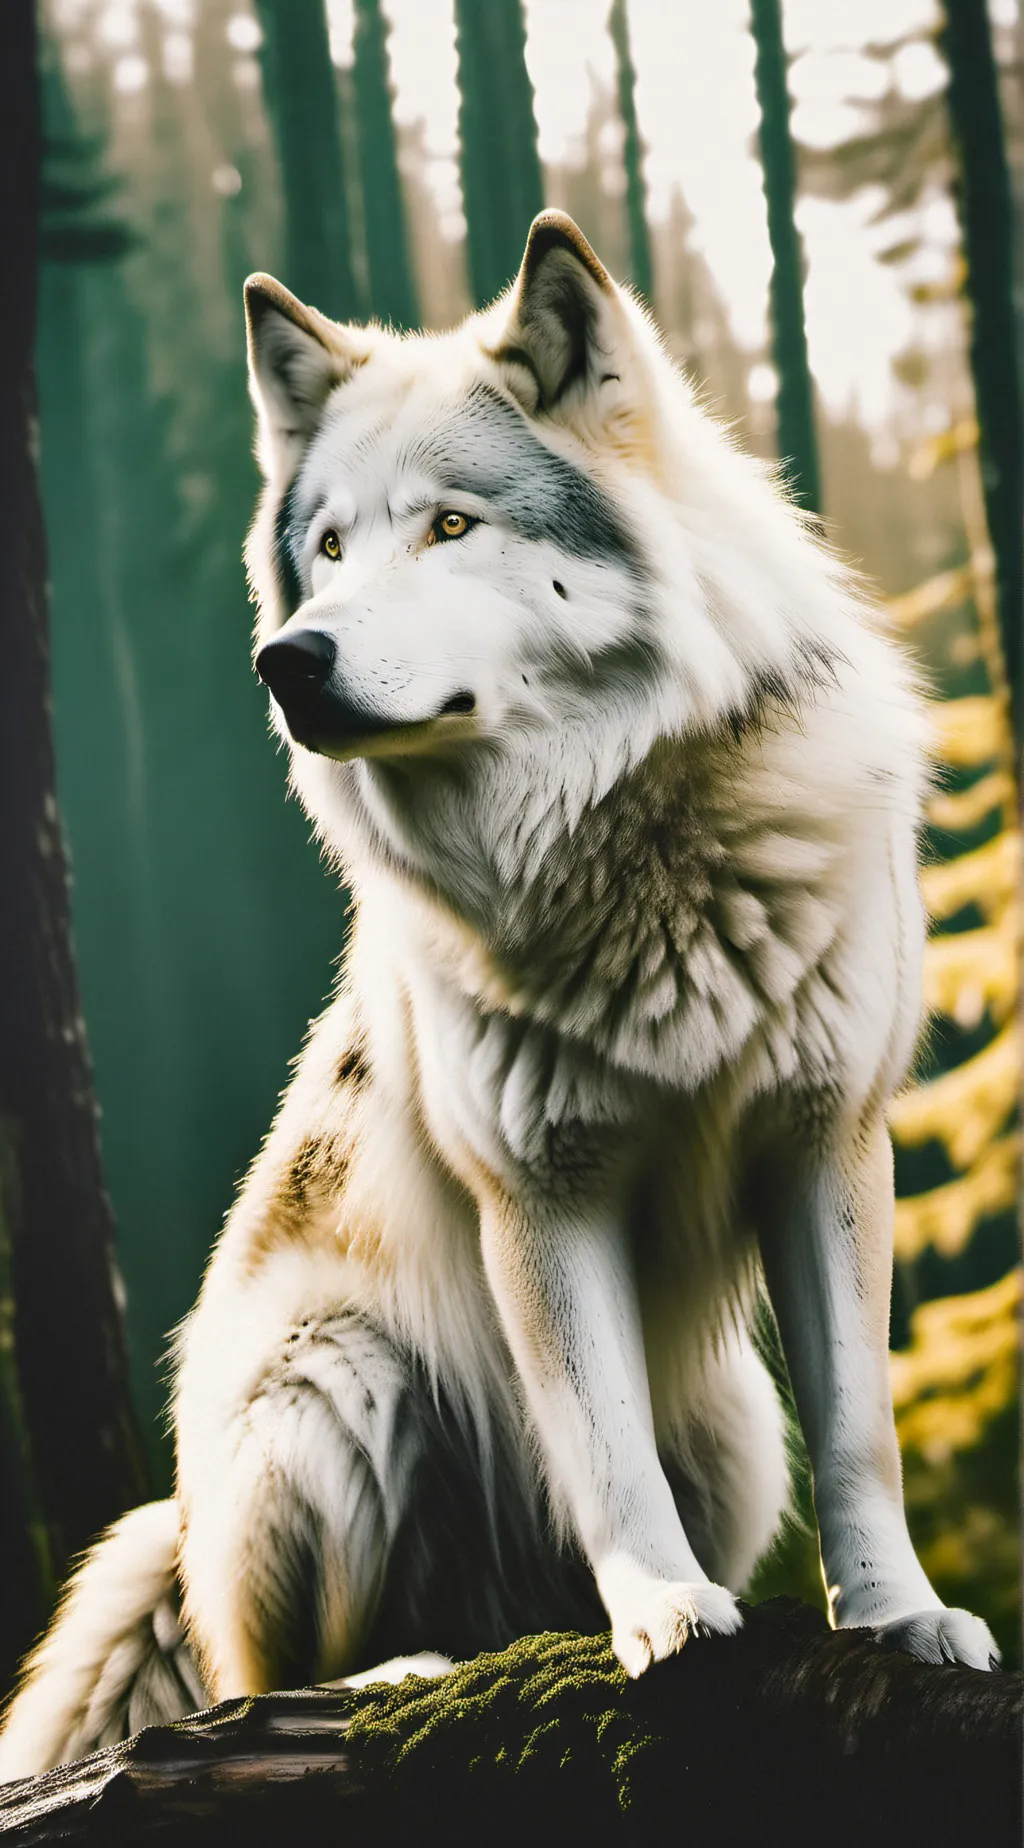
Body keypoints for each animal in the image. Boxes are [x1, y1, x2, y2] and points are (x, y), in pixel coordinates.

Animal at [0, 210, 997, 1780]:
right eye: (328, 548)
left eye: (452, 528)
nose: (288, 660)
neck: (629, 839)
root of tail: (180, 1513)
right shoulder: (539, 1192)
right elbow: (602, 1445)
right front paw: (669, 1622)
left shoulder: (825, 1142)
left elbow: (863, 1431)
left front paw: (902, 1621)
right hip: (329, 1381)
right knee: (266, 1675)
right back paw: (408, 1673)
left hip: (731, 1422)